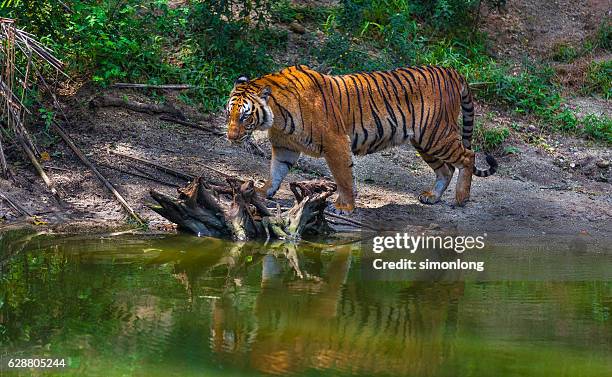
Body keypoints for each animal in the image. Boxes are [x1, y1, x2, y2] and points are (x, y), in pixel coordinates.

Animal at [225, 64, 498, 212]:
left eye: (245, 117)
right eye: (229, 114)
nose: (230, 137)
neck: (278, 117)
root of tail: (450, 70)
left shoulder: (335, 142)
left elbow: (343, 177)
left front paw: (344, 206)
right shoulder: (284, 146)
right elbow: (276, 172)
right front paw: (263, 192)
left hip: (436, 135)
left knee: (468, 156)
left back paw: (461, 199)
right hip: (424, 141)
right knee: (446, 169)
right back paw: (432, 197)